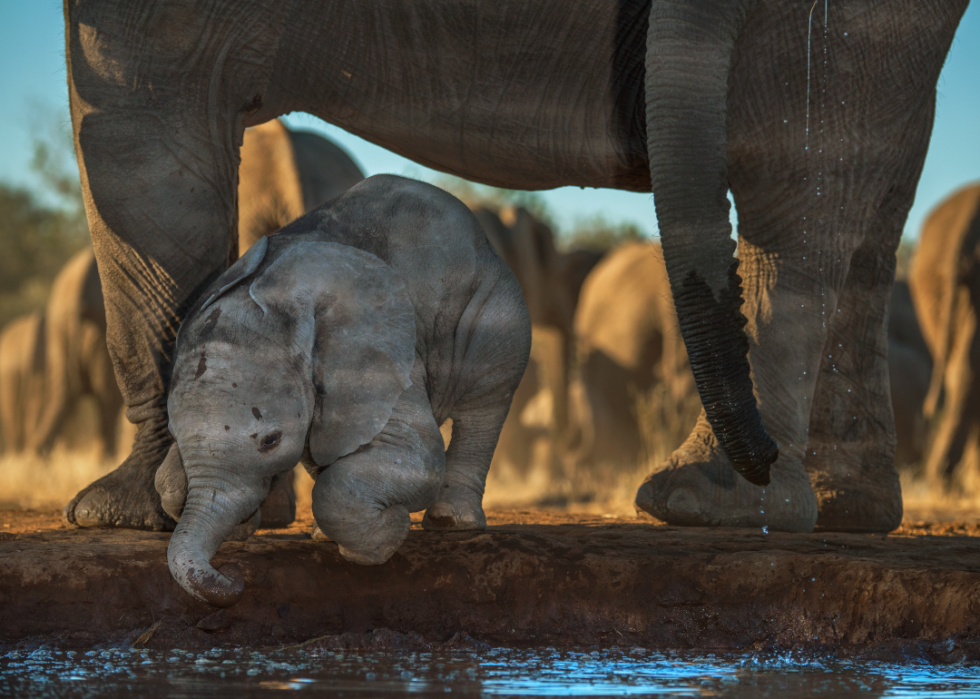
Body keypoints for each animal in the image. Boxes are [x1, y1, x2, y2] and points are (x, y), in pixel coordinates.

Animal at [65, 0, 968, 532]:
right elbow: (138, 136)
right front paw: (134, 511)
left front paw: (138, 511)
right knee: (865, 175)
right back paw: (832, 509)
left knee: (819, 168)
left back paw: (716, 501)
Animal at [158, 176, 532, 608]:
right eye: (172, 432)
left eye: (271, 441)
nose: (234, 576)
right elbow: (167, 484)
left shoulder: (384, 356)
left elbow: (418, 460)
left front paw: (387, 533)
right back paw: (325, 534)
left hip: (495, 307)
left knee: (485, 403)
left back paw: (450, 522)